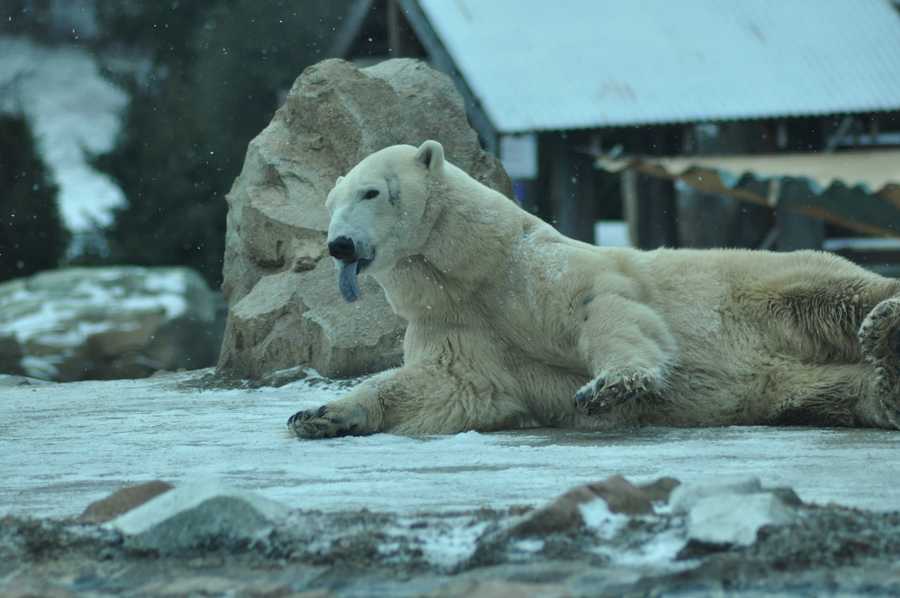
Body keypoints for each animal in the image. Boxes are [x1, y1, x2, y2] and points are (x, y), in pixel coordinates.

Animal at [288, 140, 900, 438]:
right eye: (330, 203)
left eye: (370, 192)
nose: (339, 245)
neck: (472, 270)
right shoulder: (458, 323)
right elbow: (447, 384)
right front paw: (319, 414)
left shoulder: (525, 270)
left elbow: (599, 306)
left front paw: (611, 386)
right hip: (792, 384)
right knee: (846, 395)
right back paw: (884, 374)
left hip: (765, 290)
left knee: (836, 297)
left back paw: (883, 322)